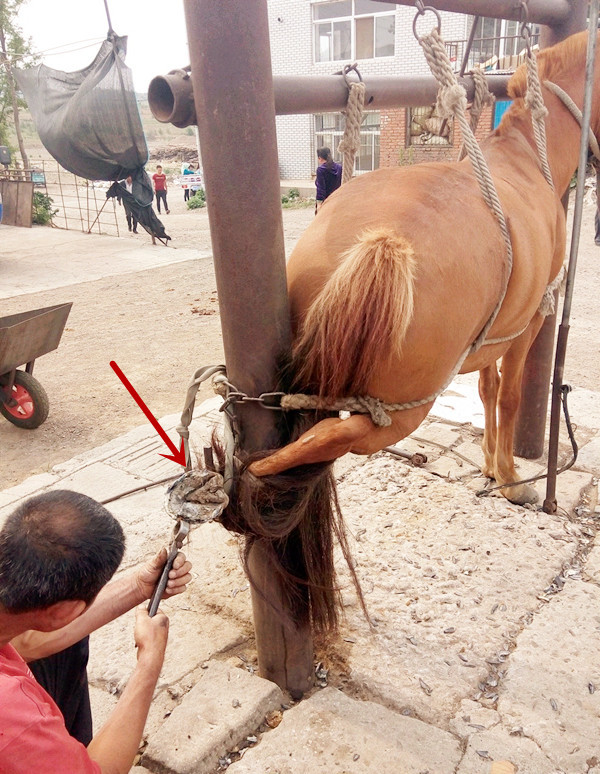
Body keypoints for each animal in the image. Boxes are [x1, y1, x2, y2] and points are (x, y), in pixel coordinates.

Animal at [247, 31, 596, 510]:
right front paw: (510, 478)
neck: (525, 154)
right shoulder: (531, 320)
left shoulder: (494, 331)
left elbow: (488, 389)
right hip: (405, 407)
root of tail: (383, 243)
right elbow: (509, 396)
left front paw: (490, 463)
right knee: (333, 435)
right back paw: (252, 473)